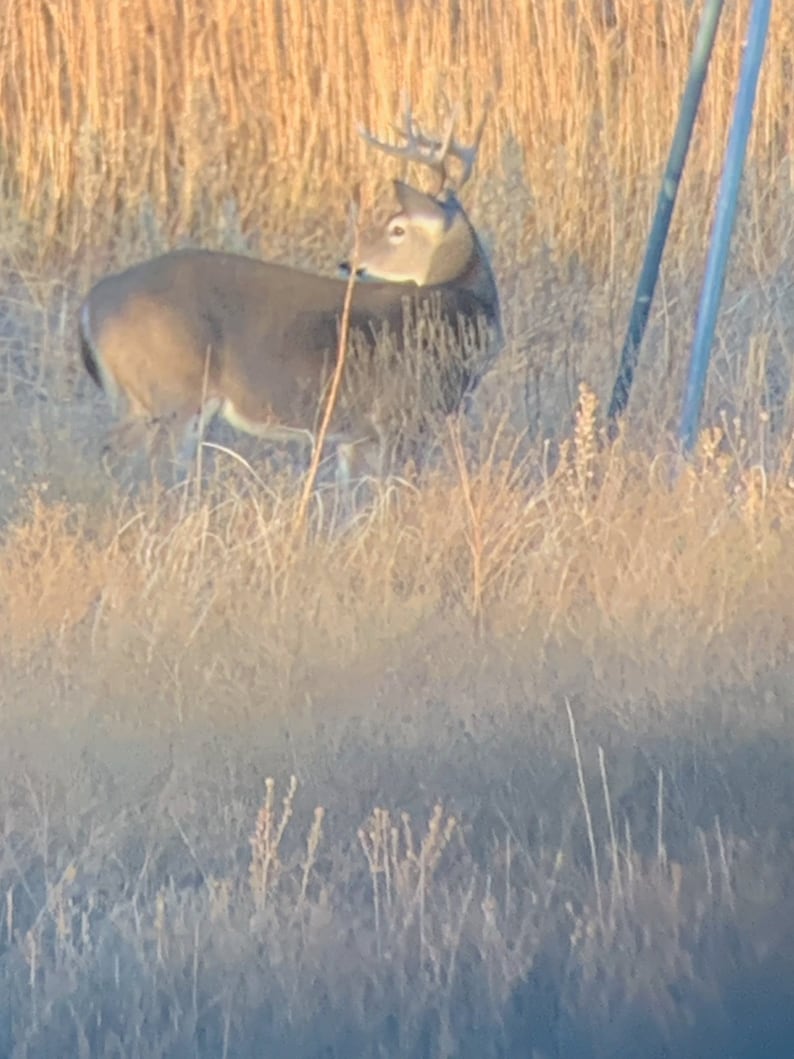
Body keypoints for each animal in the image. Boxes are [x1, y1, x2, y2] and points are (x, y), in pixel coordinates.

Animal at [78, 103, 502, 483]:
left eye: (397, 228)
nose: (350, 263)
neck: (464, 304)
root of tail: (91, 304)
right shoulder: (403, 413)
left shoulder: (359, 434)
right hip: (170, 392)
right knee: (128, 459)